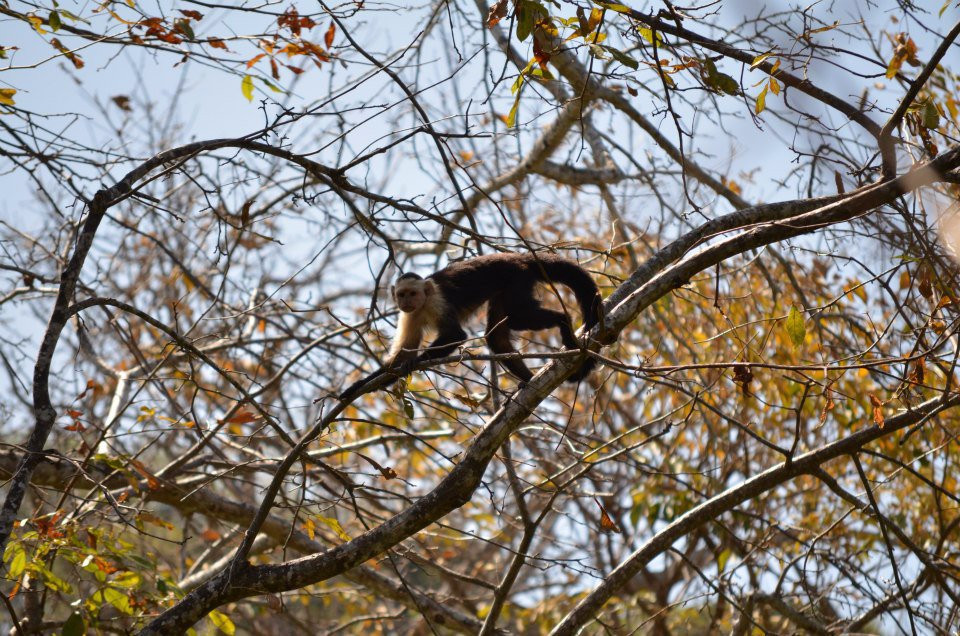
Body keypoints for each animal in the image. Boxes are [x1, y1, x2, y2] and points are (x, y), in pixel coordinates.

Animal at [342, 252, 604, 398]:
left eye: (412, 293)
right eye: (402, 294)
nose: (406, 301)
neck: (423, 304)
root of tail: (519, 256)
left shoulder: (437, 302)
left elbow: (456, 335)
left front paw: (417, 362)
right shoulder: (409, 316)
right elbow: (400, 355)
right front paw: (360, 386)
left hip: (517, 278)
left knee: (518, 316)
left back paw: (563, 321)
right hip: (507, 286)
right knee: (496, 336)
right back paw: (529, 379)